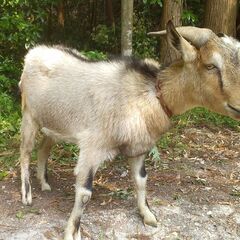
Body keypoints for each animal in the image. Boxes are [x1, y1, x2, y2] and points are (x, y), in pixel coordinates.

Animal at [19, 21, 240, 240]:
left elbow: (141, 180)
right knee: (25, 152)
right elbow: (84, 193)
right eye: (210, 65)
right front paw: (72, 232)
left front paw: (148, 216)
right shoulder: (92, 148)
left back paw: (45, 184)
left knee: (43, 148)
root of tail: (34, 52)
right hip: (29, 115)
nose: (238, 105)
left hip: (54, 125)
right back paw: (27, 194)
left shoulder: (139, 146)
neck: (151, 93)